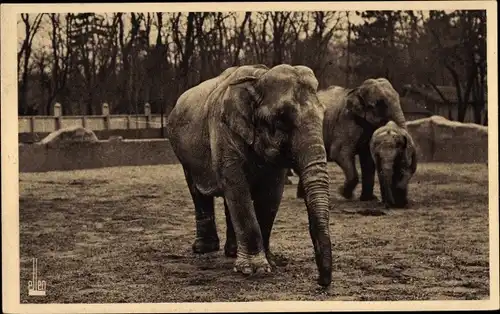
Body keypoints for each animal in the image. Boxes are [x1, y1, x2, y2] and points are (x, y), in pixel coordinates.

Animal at [166, 63, 334, 288]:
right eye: (282, 117)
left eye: (323, 112)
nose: (321, 282)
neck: (258, 78)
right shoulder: (223, 130)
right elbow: (237, 187)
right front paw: (255, 270)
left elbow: (271, 194)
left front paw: (270, 261)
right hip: (183, 151)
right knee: (198, 190)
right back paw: (204, 249)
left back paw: (232, 252)